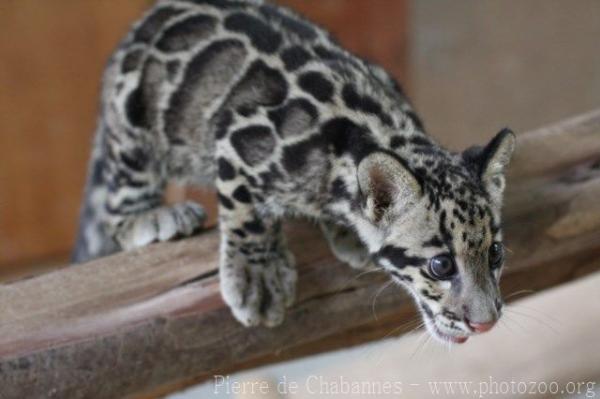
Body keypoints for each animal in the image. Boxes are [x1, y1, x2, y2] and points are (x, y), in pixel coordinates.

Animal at [74, 0, 516, 344]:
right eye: (440, 265)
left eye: (495, 253)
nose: (486, 323)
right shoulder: (238, 139)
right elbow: (246, 213)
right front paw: (256, 274)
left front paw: (345, 231)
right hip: (133, 124)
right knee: (116, 208)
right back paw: (151, 217)